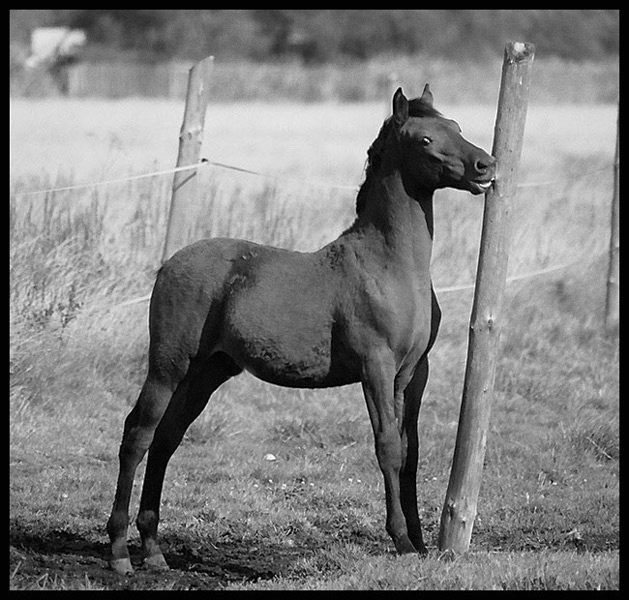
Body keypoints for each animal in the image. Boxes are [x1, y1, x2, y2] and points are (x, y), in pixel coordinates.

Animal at [105, 85, 494, 572]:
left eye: (456, 127)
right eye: (425, 139)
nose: (486, 166)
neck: (391, 267)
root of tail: (168, 264)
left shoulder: (413, 373)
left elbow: (412, 452)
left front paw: (423, 546)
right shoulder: (376, 367)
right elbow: (388, 446)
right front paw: (402, 541)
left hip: (207, 372)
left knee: (165, 439)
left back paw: (154, 550)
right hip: (168, 366)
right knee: (138, 434)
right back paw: (120, 552)